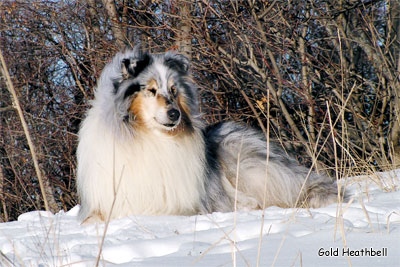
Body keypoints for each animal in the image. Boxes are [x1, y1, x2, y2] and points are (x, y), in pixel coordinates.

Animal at [76, 47, 340, 223]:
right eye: (151, 90)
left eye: (173, 89)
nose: (174, 114)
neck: (149, 138)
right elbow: (94, 219)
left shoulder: (179, 204)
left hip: (246, 163)